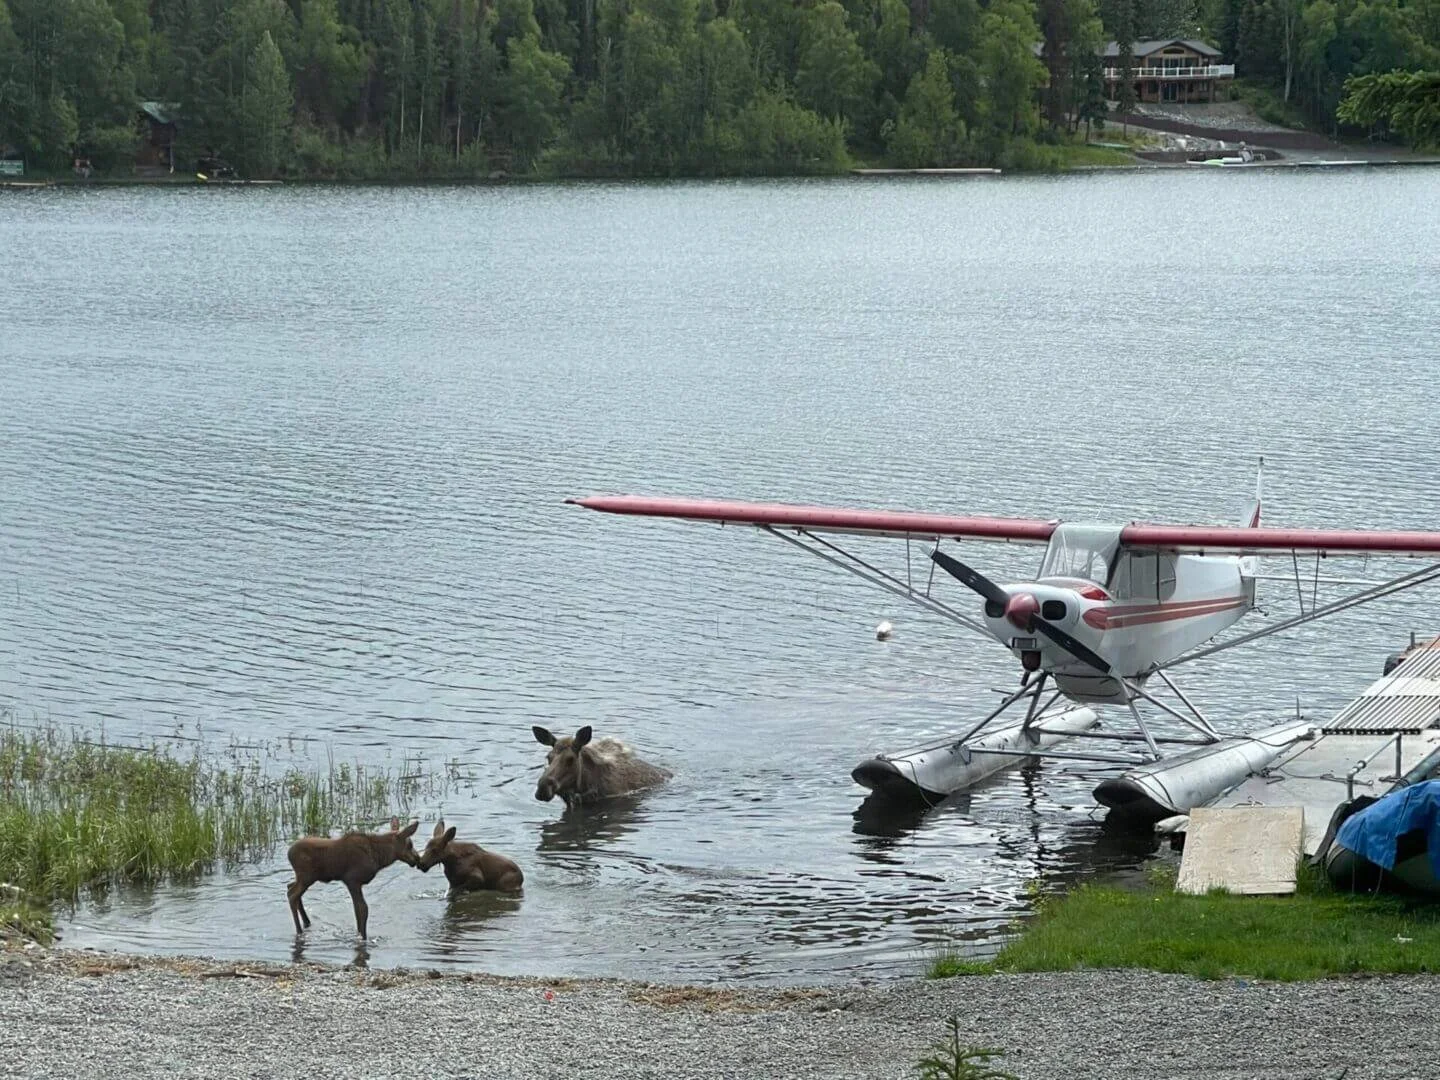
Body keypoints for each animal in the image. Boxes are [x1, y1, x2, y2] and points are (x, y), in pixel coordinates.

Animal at [285, 816, 420, 939]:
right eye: (410, 844)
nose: (417, 858)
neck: (379, 857)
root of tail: (288, 853)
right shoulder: (352, 880)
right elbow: (362, 909)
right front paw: (364, 937)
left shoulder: (353, 883)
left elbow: (357, 910)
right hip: (306, 877)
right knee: (292, 894)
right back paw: (299, 930)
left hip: (304, 878)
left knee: (290, 887)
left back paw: (307, 923)